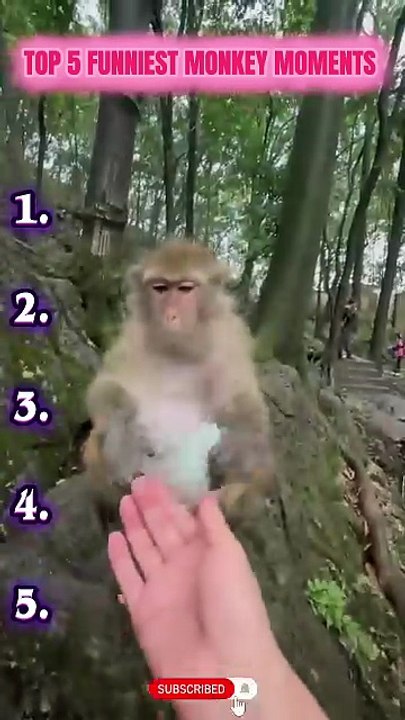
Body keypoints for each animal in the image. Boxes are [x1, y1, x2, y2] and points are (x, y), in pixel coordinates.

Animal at [83, 239, 274, 531]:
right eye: (160, 288)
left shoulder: (230, 337)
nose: (170, 316)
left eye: (185, 288)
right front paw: (125, 434)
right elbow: (105, 387)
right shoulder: (133, 335)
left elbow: (244, 401)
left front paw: (233, 447)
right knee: (96, 442)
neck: (180, 350)